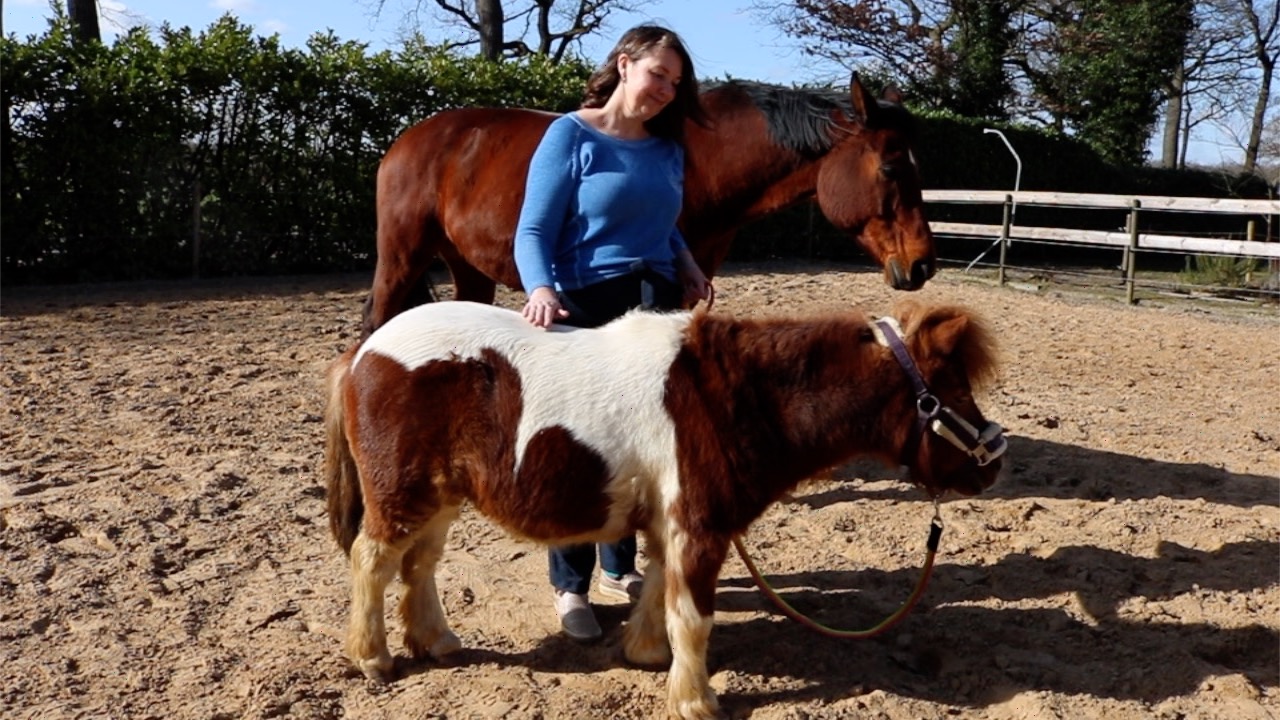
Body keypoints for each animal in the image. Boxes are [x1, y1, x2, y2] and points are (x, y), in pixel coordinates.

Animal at [325, 298, 1003, 717]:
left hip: (440, 497)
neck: (734, 396)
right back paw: (373, 658)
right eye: (948, 392)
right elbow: (694, 616)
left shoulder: (669, 523)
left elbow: (657, 590)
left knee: (420, 565)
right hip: (402, 493)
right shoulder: (700, 528)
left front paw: (647, 656)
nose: (993, 463)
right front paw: (695, 700)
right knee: (371, 561)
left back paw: (436, 641)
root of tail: (363, 352)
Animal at [366, 75, 936, 335]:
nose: (922, 265)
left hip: (467, 265)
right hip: (402, 256)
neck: (704, 159)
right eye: (891, 168)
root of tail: (409, 138)